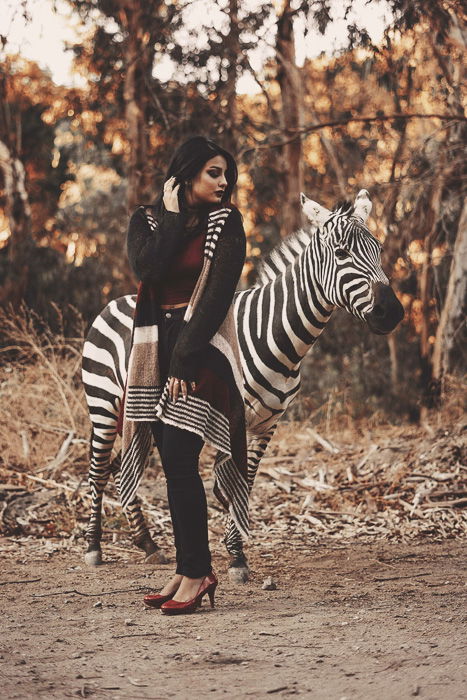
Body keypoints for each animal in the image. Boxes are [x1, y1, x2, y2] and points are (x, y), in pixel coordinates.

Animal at [82, 190, 404, 580]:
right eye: (341, 253)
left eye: (379, 249)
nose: (393, 312)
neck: (278, 339)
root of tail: (115, 301)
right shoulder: (231, 415)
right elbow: (229, 483)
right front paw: (234, 554)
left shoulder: (269, 422)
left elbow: (244, 482)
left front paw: (234, 549)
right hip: (103, 404)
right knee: (98, 470)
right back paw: (94, 547)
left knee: (124, 467)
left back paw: (147, 543)